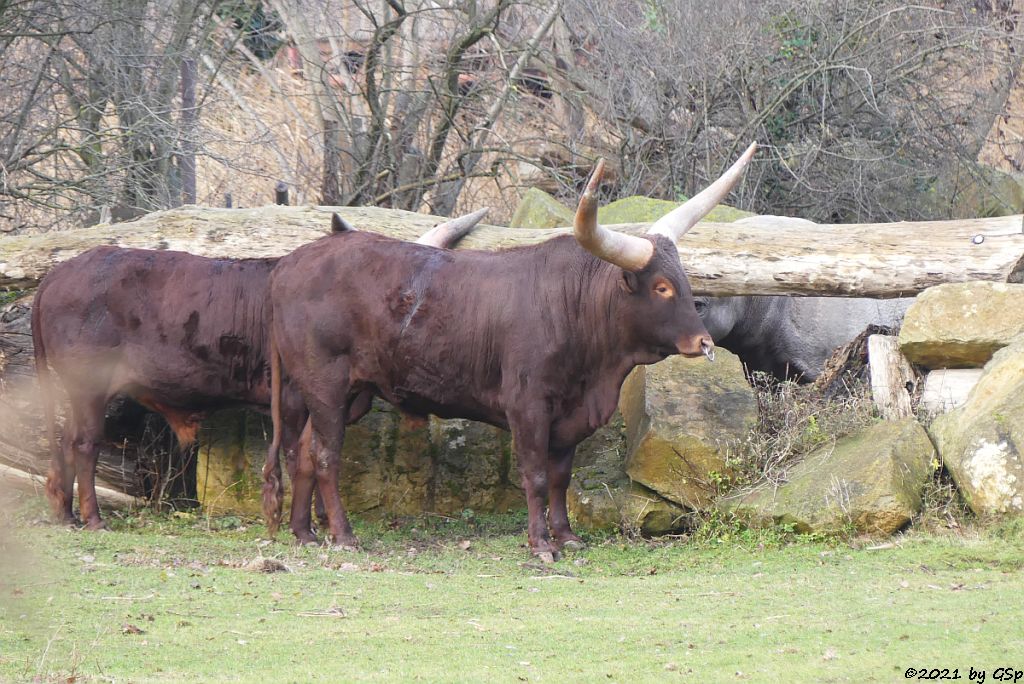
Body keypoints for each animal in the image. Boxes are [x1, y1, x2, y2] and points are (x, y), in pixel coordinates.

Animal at [28, 210, 483, 536]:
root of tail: (58, 274)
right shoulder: (298, 398)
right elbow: (302, 454)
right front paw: (311, 526)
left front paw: (318, 521)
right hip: (88, 389)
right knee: (85, 444)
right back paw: (93, 518)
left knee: (66, 440)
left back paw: (66, 514)